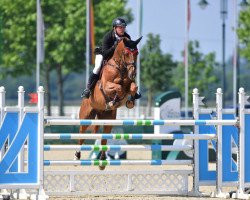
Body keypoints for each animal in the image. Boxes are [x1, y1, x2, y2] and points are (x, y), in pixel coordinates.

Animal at [76, 36, 142, 170]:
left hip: (108, 120)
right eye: (126, 53)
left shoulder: (129, 83)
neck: (121, 68)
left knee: (104, 139)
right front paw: (114, 99)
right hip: (86, 117)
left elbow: (133, 87)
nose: (133, 73)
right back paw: (77, 156)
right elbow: (118, 87)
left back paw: (102, 161)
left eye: (136, 53)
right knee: (81, 135)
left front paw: (130, 101)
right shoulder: (106, 86)